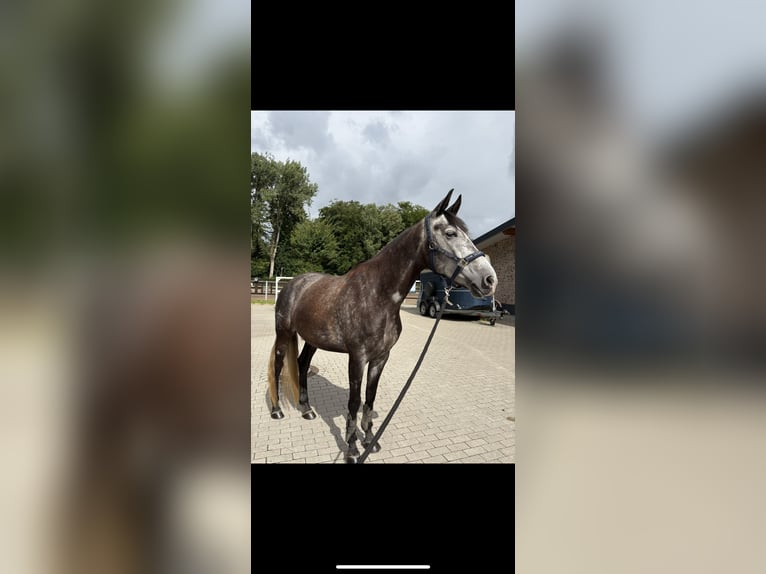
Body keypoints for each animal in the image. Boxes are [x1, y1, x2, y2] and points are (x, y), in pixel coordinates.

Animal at [267, 189, 498, 463]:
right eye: (451, 233)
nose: (489, 279)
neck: (378, 294)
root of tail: (293, 284)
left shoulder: (380, 357)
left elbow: (369, 398)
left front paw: (369, 440)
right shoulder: (357, 357)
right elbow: (354, 402)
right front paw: (352, 449)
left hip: (313, 339)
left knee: (302, 365)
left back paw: (306, 409)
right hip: (283, 333)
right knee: (278, 365)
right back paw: (277, 411)